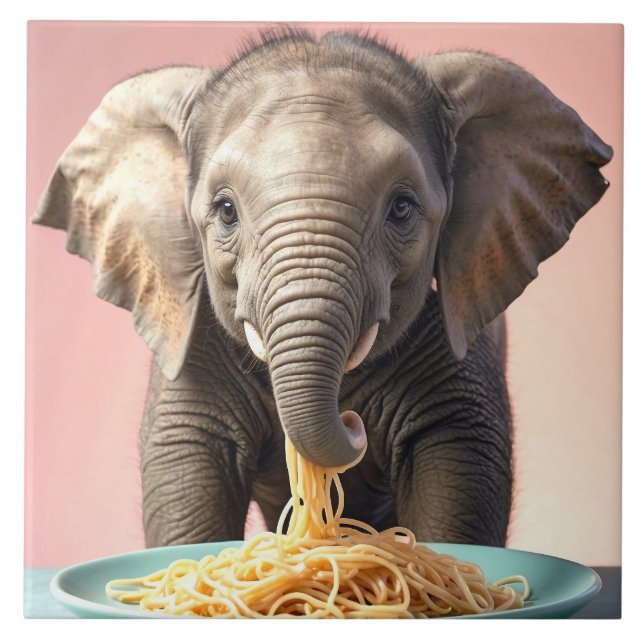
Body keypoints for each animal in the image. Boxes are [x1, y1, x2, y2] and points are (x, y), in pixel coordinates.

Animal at [33, 29, 612, 549]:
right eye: (225, 210)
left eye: (402, 207)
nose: (354, 425)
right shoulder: (191, 348)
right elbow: (185, 474)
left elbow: (459, 468)